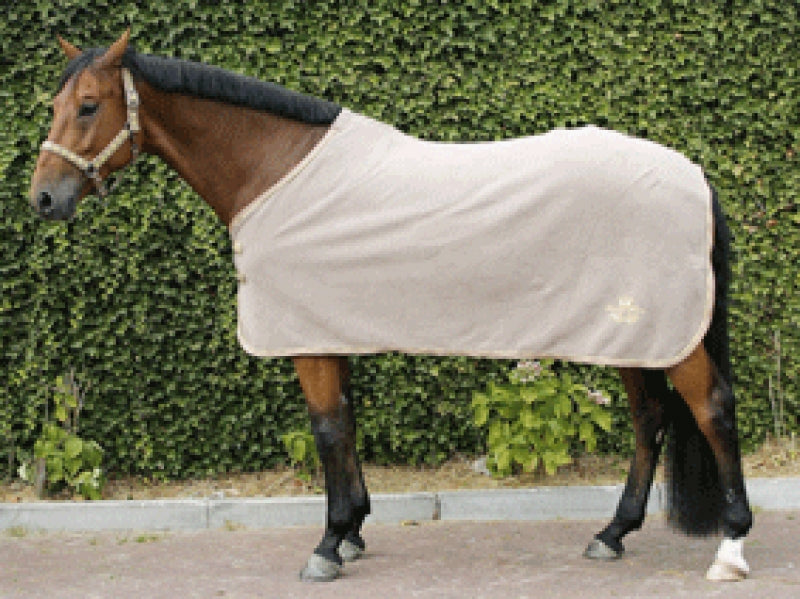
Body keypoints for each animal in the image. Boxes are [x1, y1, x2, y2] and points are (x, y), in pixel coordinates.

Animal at [29, 31, 753, 583]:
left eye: (88, 106)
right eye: (56, 103)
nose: (43, 198)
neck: (276, 170)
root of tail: (692, 172)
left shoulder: (308, 338)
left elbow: (326, 429)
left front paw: (326, 545)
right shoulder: (329, 328)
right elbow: (345, 425)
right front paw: (351, 531)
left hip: (665, 334)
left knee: (711, 411)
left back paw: (731, 548)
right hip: (633, 334)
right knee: (650, 420)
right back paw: (612, 533)